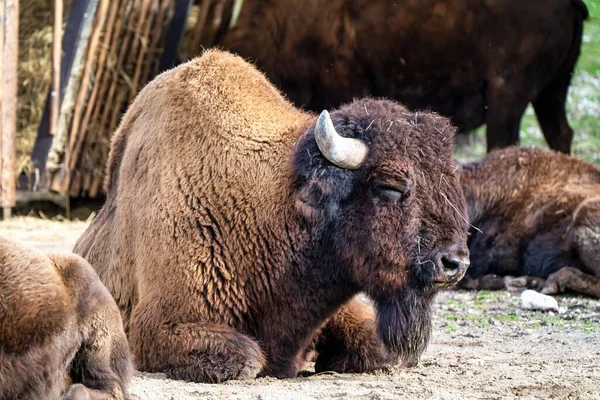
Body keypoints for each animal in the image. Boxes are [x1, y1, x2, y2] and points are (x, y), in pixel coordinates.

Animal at [74, 50, 468, 384]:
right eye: (390, 185)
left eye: (450, 179)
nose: (455, 263)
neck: (276, 205)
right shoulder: (159, 324)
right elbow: (246, 358)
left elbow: (375, 347)